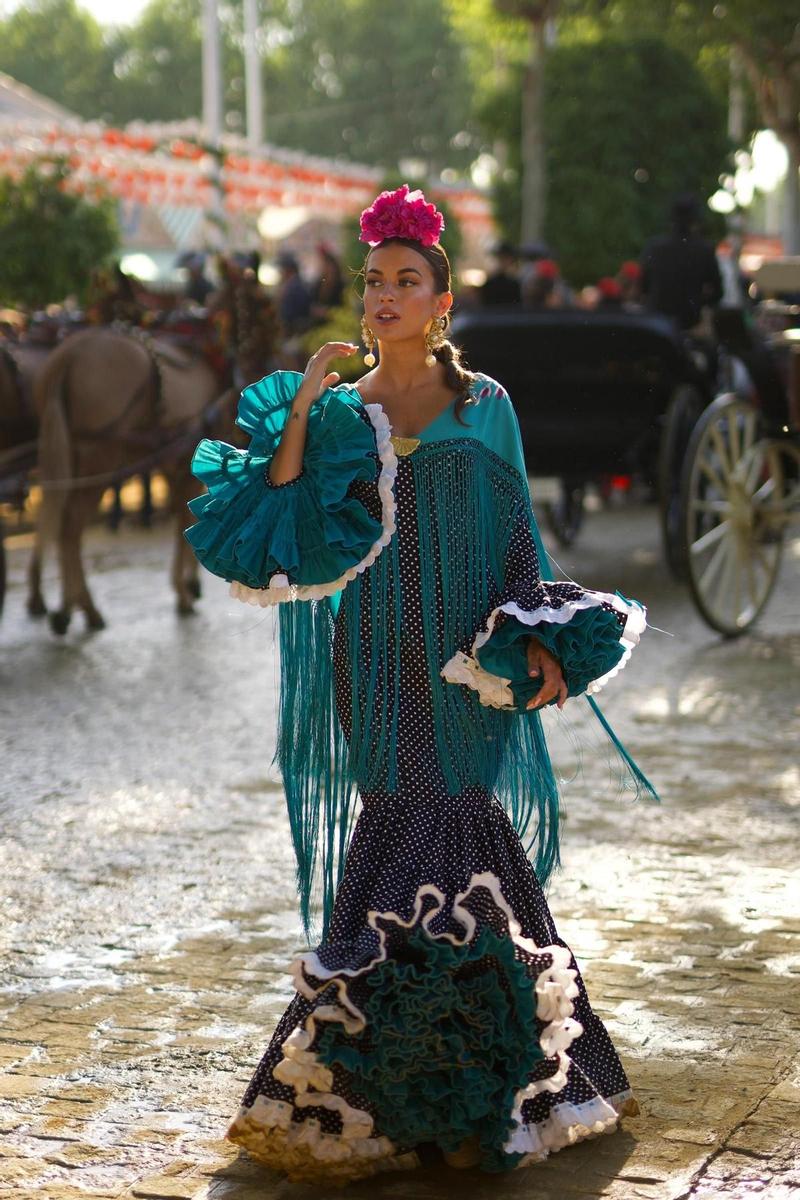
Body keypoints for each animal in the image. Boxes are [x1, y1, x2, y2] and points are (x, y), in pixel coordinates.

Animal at [32, 324, 237, 633]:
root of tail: (68, 356)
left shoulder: (172, 460)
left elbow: (188, 514)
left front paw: (188, 585)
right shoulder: (188, 456)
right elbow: (190, 516)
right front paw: (185, 590)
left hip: (61, 450)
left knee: (55, 514)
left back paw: (63, 605)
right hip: (99, 455)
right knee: (70, 525)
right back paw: (83, 609)